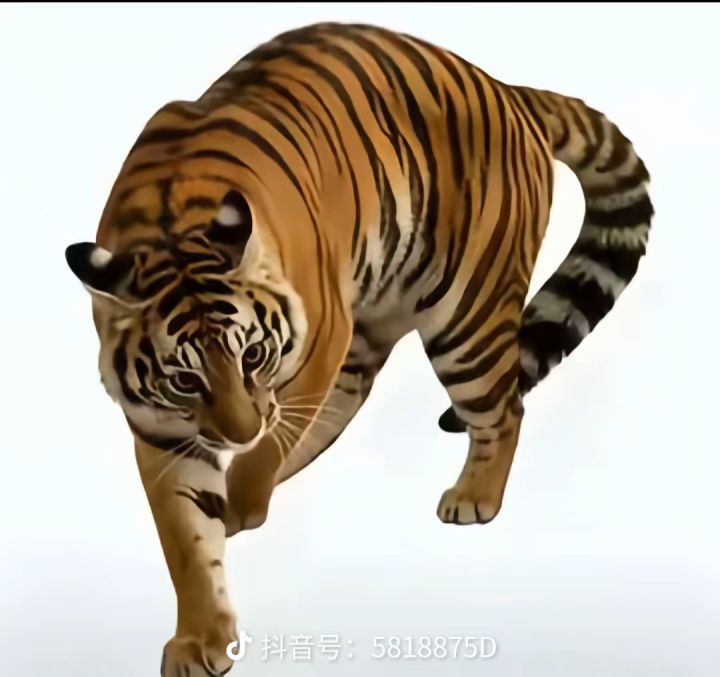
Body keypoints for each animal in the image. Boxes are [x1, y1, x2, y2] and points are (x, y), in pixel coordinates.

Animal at [65, 21, 653, 676]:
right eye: (185, 380)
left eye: (252, 356)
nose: (238, 434)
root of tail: (506, 88)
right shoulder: (160, 427)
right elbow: (186, 540)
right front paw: (200, 638)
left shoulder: (320, 340)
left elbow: (272, 442)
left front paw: (243, 496)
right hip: (378, 321)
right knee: (343, 411)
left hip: (466, 319)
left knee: (503, 408)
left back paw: (472, 496)